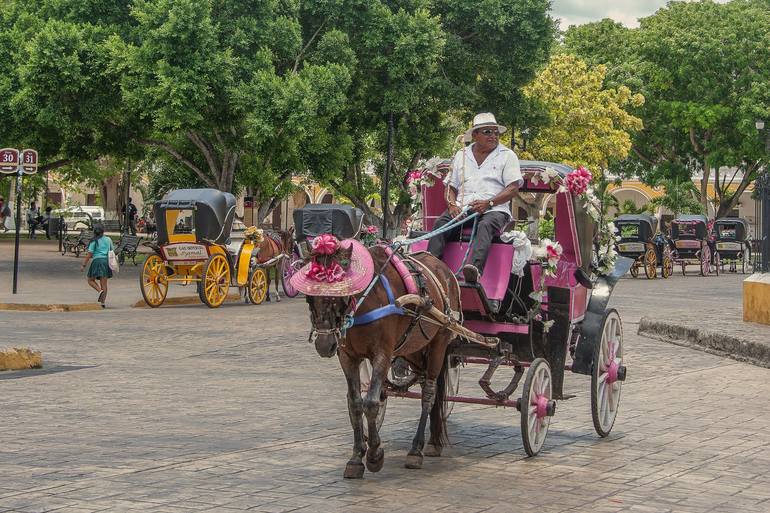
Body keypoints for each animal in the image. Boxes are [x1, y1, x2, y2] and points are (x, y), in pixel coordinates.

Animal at [304, 244, 460, 476]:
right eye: (308, 297)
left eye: (339, 293)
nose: (324, 345)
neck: (364, 303)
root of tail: (442, 267)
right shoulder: (347, 357)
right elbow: (355, 403)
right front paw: (356, 458)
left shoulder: (382, 354)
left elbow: (371, 403)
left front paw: (375, 454)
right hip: (414, 348)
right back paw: (433, 441)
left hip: (439, 342)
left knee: (429, 394)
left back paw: (416, 449)